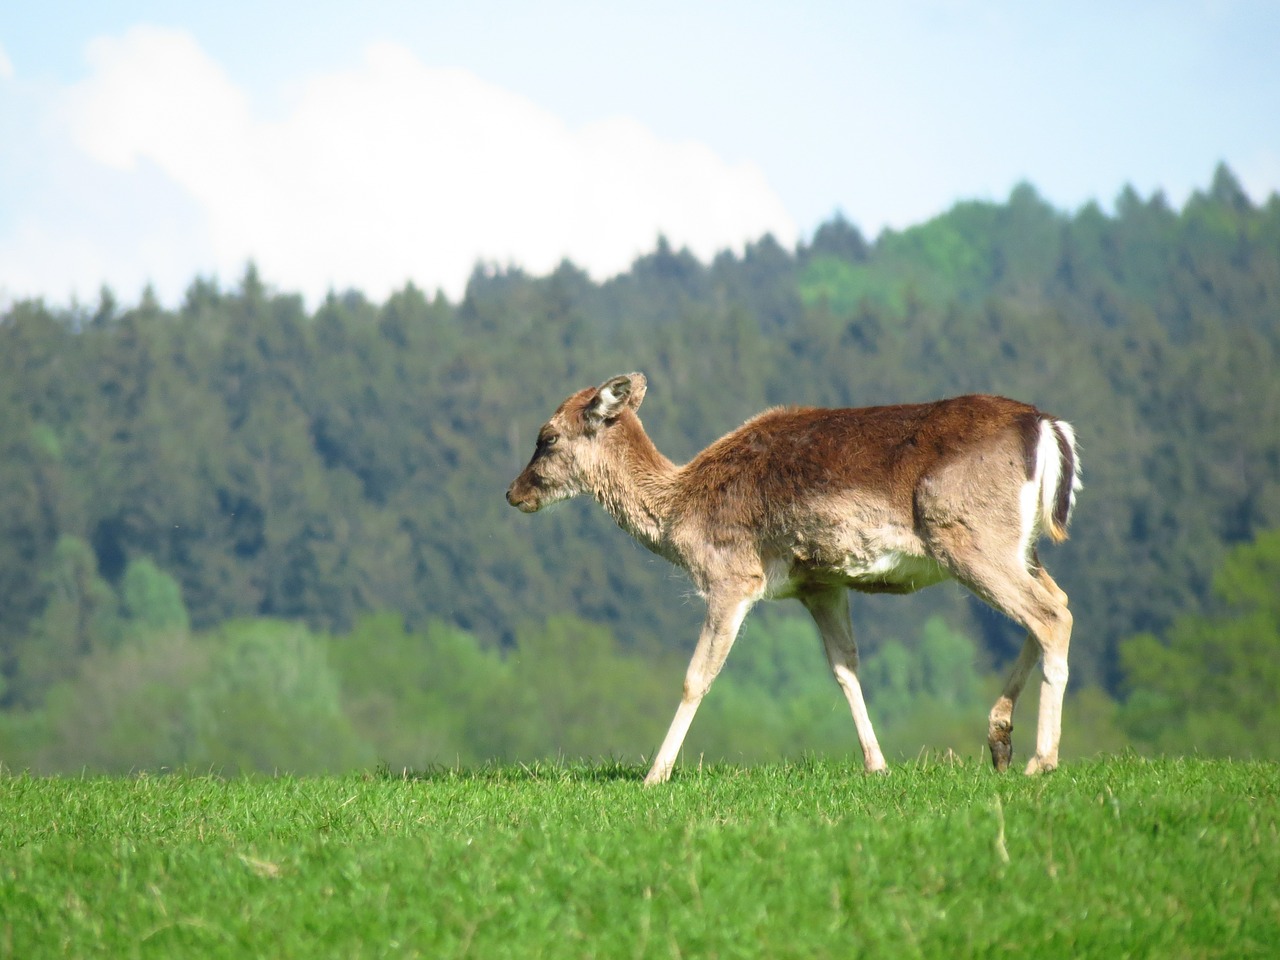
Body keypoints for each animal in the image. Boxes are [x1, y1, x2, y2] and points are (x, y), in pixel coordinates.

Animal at [504, 371, 1075, 783]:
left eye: (546, 437)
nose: (513, 493)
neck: (681, 512)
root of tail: (1048, 428)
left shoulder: (732, 574)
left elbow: (696, 677)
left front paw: (654, 775)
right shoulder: (821, 584)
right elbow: (845, 668)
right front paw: (877, 765)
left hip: (971, 537)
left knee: (1050, 615)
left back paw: (1040, 760)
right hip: (1019, 546)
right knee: (1059, 602)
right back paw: (1000, 740)